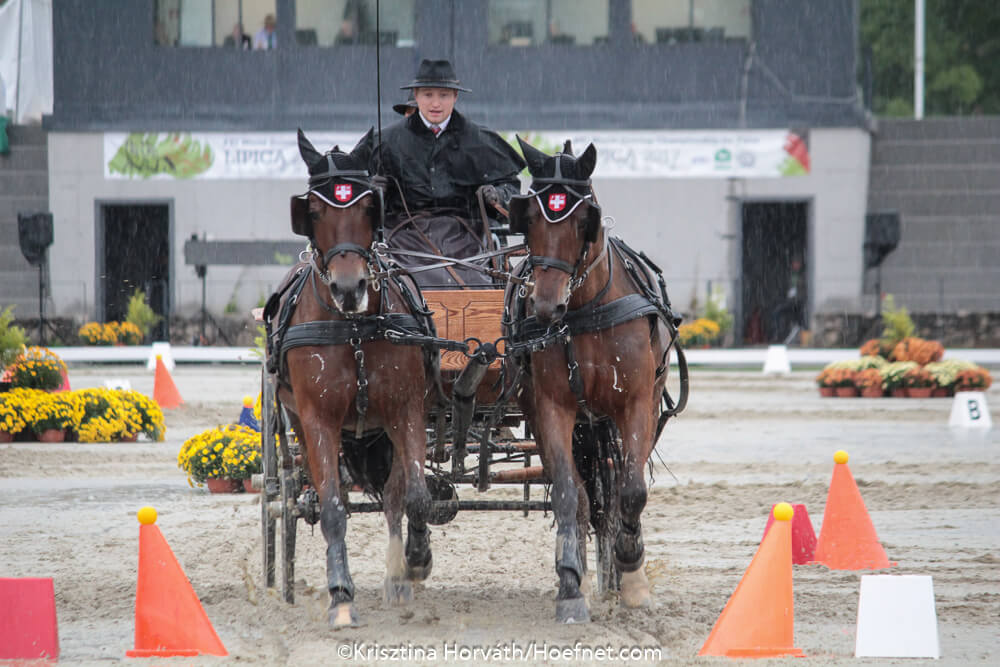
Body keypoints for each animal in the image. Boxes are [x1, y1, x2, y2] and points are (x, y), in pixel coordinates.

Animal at [264, 129, 435, 627]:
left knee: (394, 494)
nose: (348, 288)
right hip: (302, 423)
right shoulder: (319, 420)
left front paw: (416, 561)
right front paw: (341, 597)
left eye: (367, 207)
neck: (356, 329)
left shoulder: (407, 410)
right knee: (312, 495)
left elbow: (415, 495)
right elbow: (334, 510)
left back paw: (398, 578)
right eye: (315, 212)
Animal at [503, 137, 685, 623]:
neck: (586, 311)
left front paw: (631, 568)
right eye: (528, 218)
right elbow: (570, 495)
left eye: (585, 219)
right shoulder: (551, 408)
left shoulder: (637, 403)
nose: (546, 306)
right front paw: (570, 584)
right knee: (587, 496)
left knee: (617, 486)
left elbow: (632, 491)